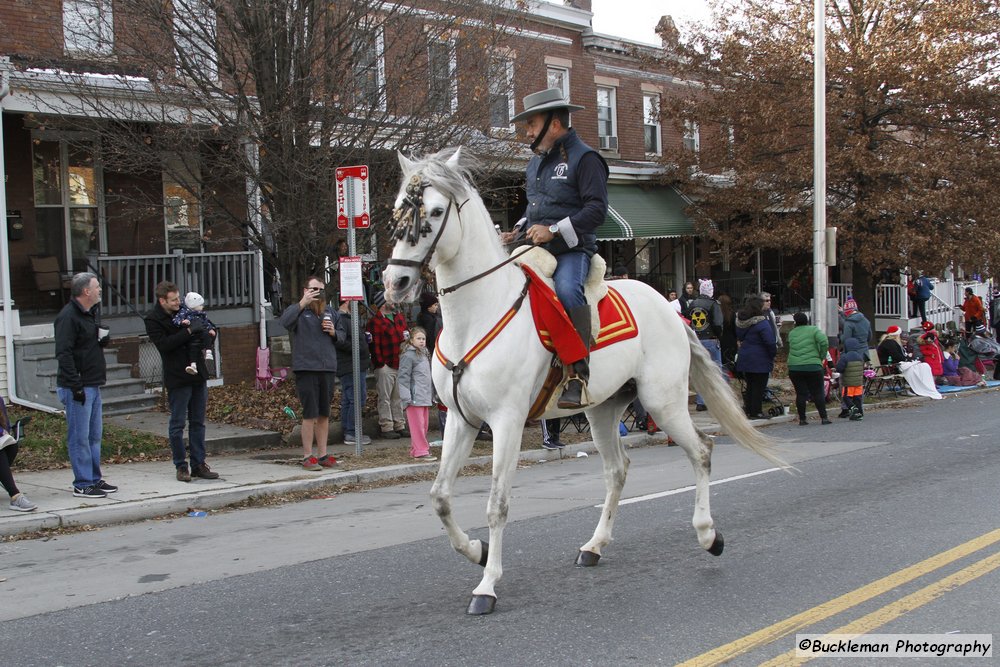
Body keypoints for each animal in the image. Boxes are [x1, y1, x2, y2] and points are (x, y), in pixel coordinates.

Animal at [378, 150, 784, 616]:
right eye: (398, 210)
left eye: (435, 212)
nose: (395, 282)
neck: (478, 313)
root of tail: (669, 308)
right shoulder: (462, 421)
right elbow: (440, 497)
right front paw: (476, 551)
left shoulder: (506, 422)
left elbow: (497, 504)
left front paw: (487, 585)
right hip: (603, 410)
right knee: (617, 470)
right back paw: (595, 545)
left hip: (662, 402)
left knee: (701, 450)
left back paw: (708, 535)